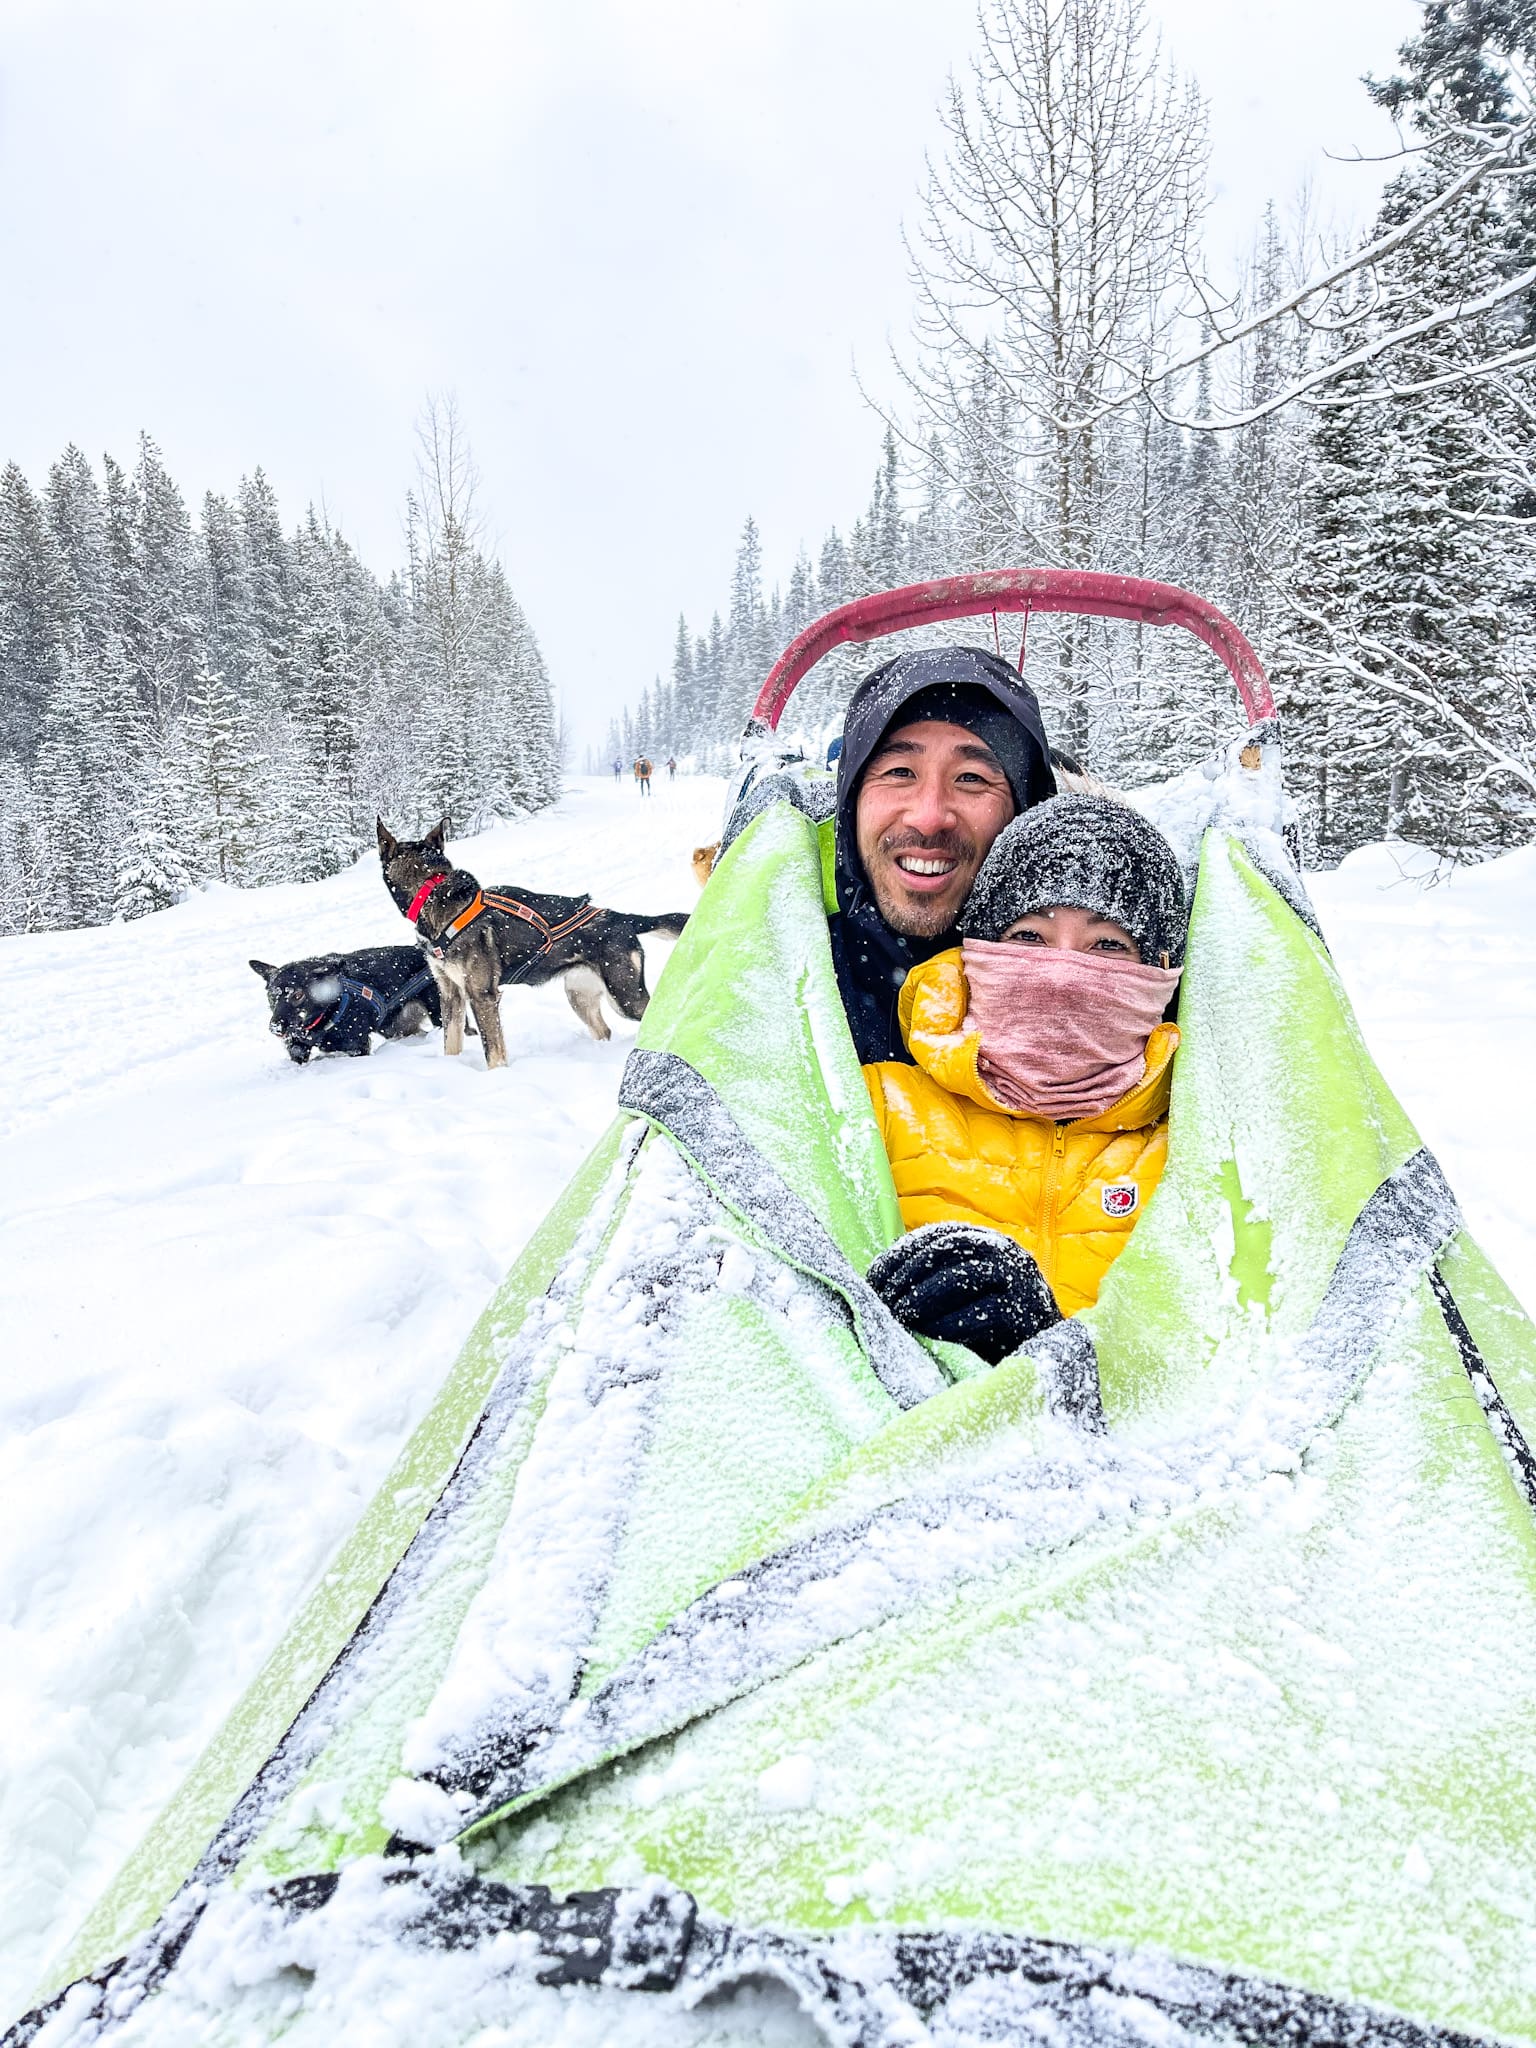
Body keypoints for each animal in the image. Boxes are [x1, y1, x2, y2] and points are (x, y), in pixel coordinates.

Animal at [376, 815, 688, 1073]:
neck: (431, 891)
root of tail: (623, 918)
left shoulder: (482, 995)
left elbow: (494, 1052)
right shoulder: (450, 994)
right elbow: (450, 1044)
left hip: (624, 995)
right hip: (579, 996)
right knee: (604, 1030)